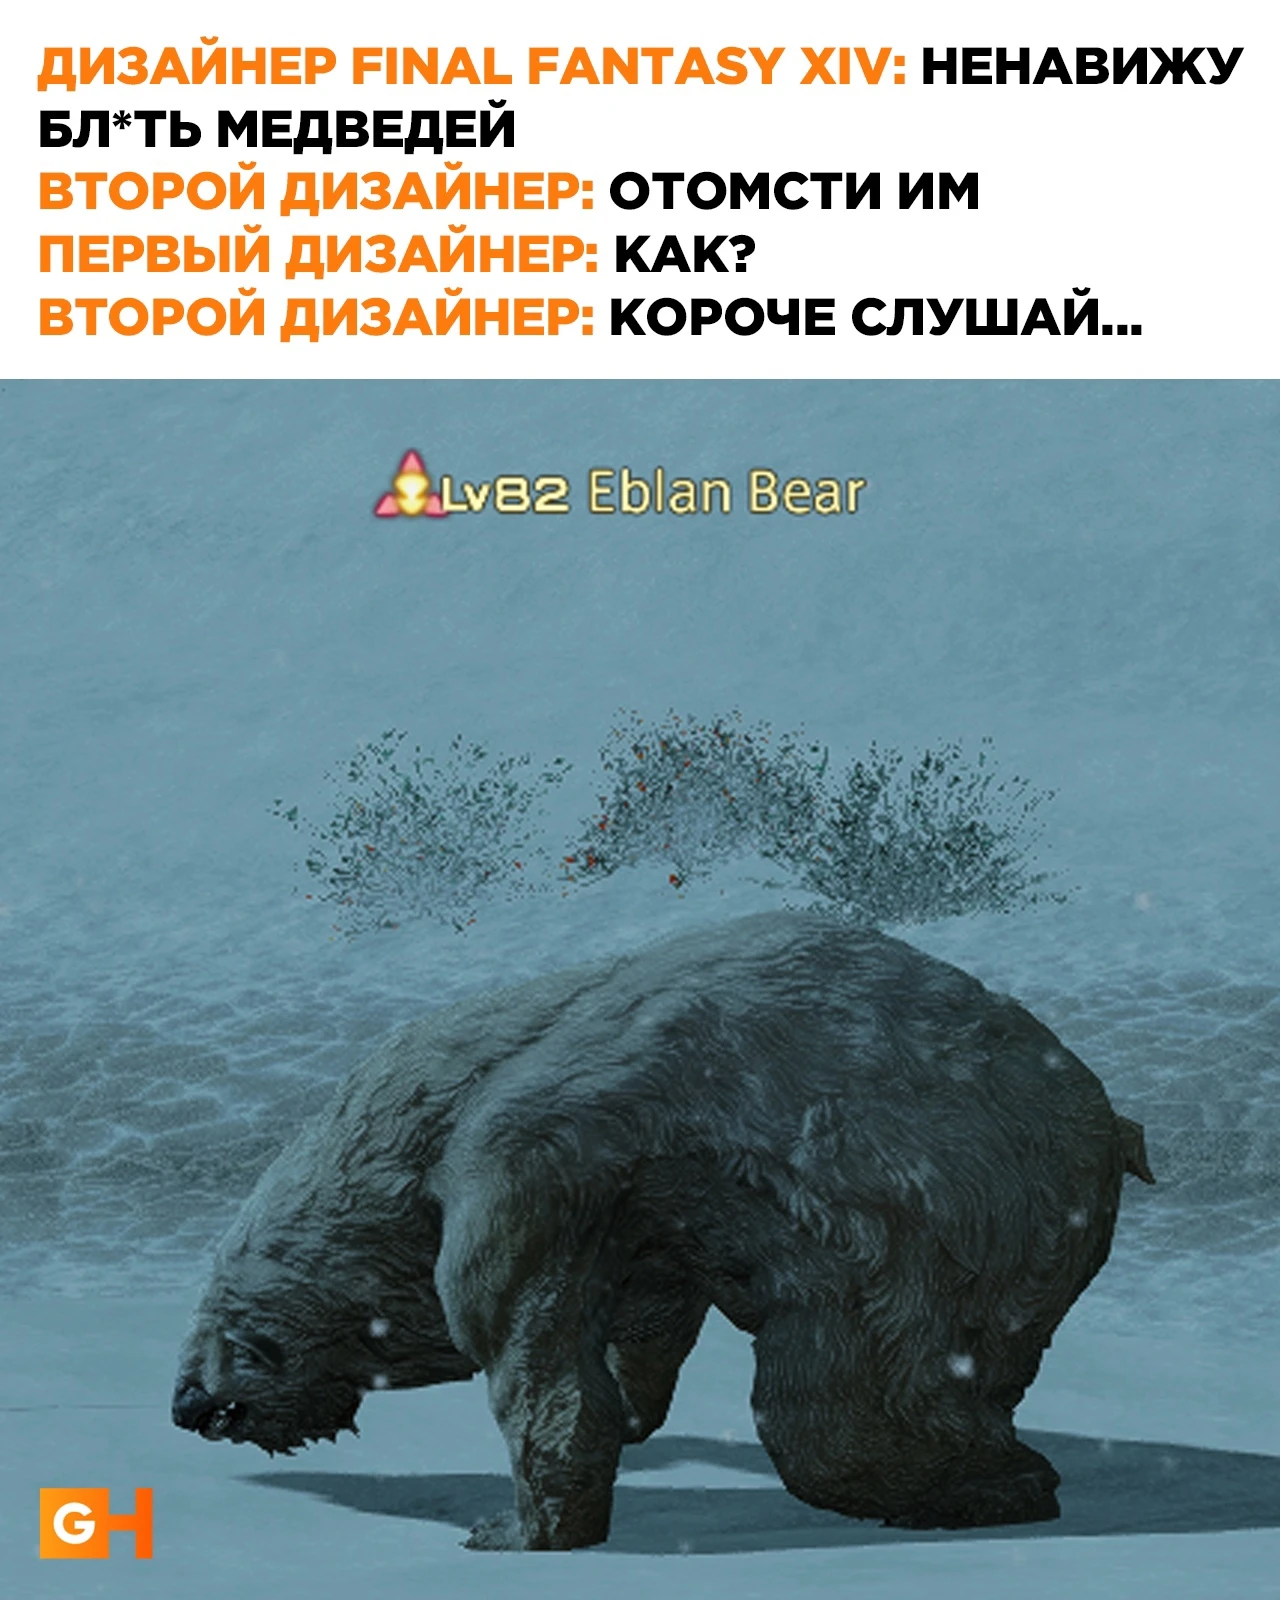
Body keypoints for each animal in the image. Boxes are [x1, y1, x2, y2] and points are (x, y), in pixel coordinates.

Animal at [173, 911, 1153, 1550]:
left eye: (241, 1334)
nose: (189, 1405)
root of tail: (1109, 1125)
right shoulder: (633, 1221)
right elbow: (645, 1324)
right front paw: (635, 1418)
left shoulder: (526, 1166)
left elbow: (536, 1357)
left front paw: (519, 1526)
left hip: (956, 1214)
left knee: (840, 1396)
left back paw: (986, 1483)